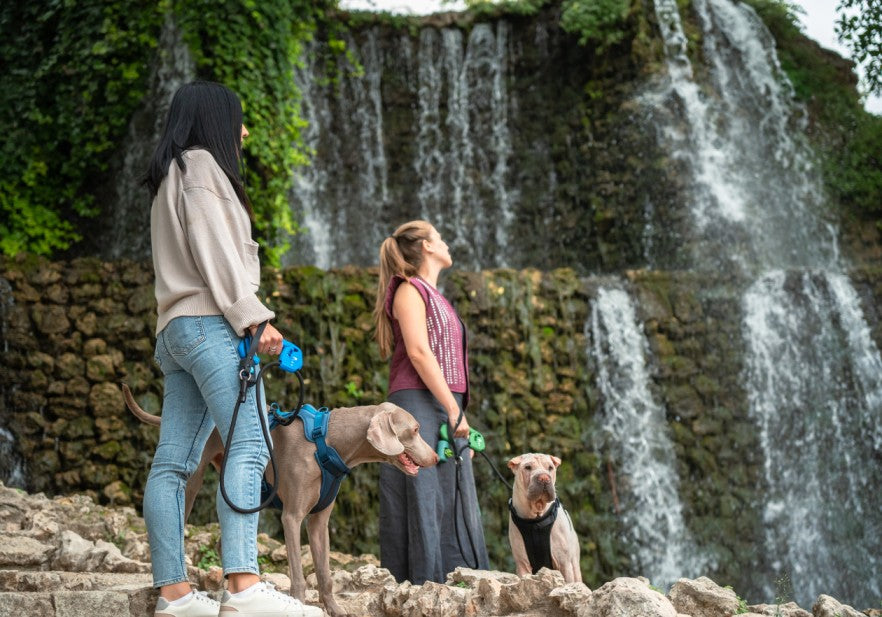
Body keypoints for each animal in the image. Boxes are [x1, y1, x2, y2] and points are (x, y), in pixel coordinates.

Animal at [122, 384, 438, 616]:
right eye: (416, 429)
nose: (436, 457)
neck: (326, 442)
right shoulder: (292, 517)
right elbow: (298, 573)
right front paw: (298, 604)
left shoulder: (319, 522)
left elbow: (325, 573)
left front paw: (334, 608)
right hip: (192, 479)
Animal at [506, 452, 580, 584]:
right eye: (528, 467)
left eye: (550, 467)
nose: (544, 478)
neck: (535, 519)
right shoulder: (522, 565)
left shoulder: (564, 563)